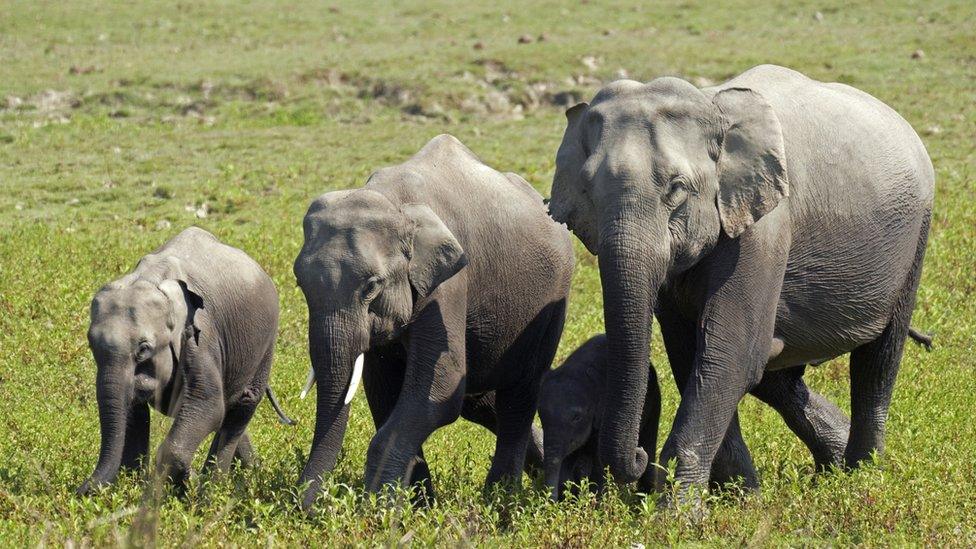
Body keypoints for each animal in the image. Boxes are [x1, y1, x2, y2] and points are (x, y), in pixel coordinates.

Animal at [76, 225, 292, 494]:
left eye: (144, 349)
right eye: (91, 344)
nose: (81, 491)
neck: (153, 279)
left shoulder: (202, 336)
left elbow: (208, 404)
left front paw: (188, 482)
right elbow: (134, 411)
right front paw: (134, 484)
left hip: (266, 343)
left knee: (242, 405)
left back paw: (214, 489)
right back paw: (248, 472)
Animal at [294, 133, 576, 510]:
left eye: (371, 286)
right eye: (300, 284)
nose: (305, 510)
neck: (394, 202)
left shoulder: (449, 282)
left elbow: (437, 386)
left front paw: (382, 510)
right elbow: (383, 391)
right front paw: (418, 506)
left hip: (552, 302)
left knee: (518, 396)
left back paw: (502, 500)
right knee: (483, 403)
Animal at [536, 332, 660, 498]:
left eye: (577, 417)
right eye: (540, 415)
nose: (551, 502)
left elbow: (598, 458)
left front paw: (594, 498)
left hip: (654, 399)